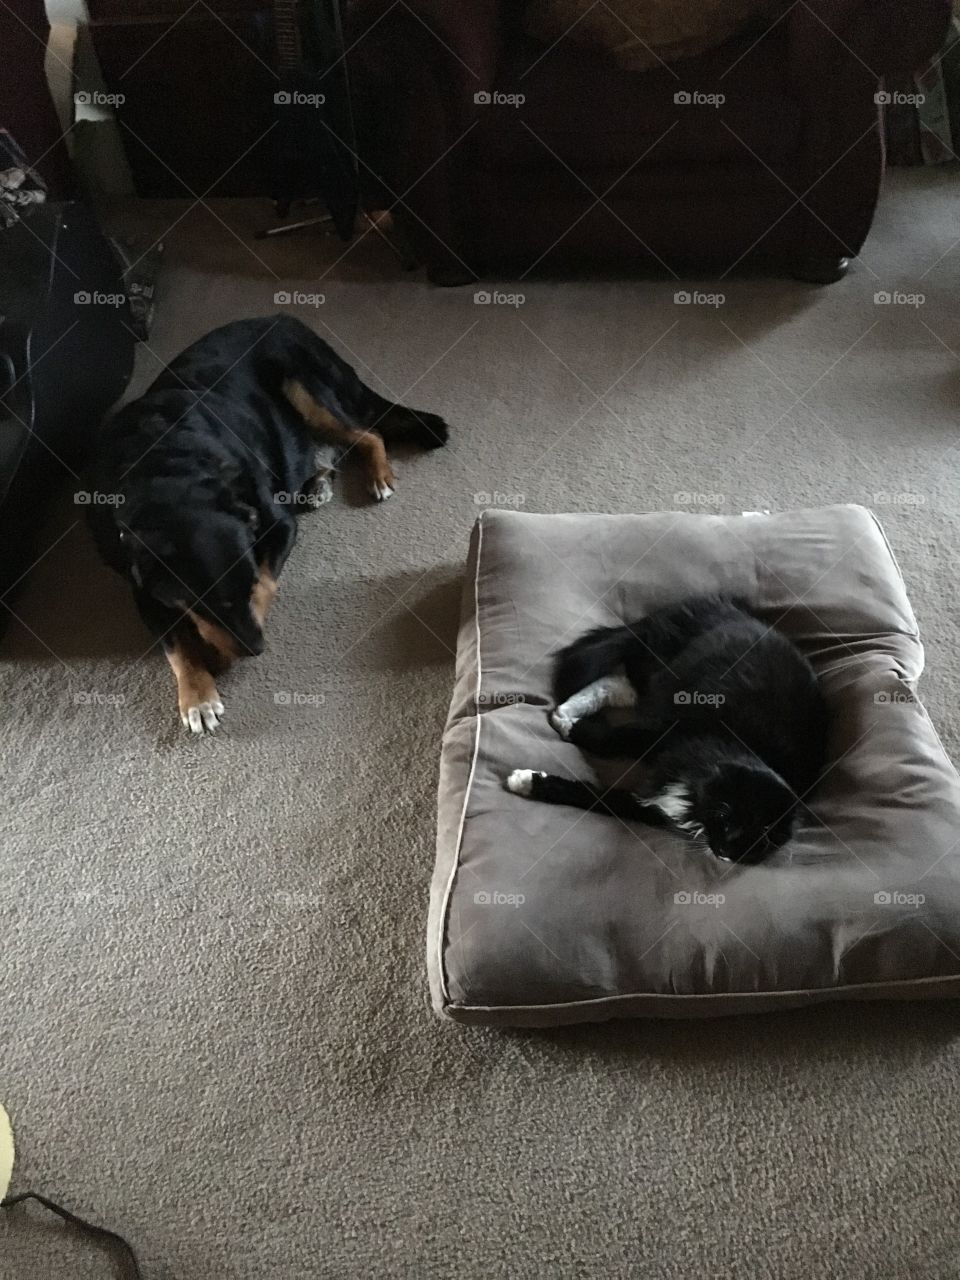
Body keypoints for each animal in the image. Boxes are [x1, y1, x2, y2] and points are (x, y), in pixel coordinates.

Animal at [88, 316, 450, 737]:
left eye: (243, 589)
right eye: (200, 603)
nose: (256, 650)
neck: (166, 474)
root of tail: (284, 319)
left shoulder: (278, 526)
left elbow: (265, 582)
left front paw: (223, 651)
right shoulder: (142, 587)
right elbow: (177, 646)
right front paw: (197, 695)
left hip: (301, 386)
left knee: (367, 433)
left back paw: (377, 475)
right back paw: (317, 483)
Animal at [506, 593, 829, 865]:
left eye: (763, 837)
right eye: (724, 814)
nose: (726, 852)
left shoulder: (650, 805)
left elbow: (599, 797)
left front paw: (528, 781)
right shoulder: (662, 735)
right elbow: (612, 740)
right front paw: (527, 775)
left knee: (618, 683)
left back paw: (567, 711)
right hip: (662, 671)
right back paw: (565, 714)